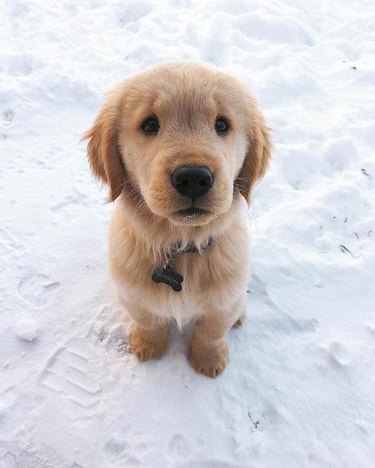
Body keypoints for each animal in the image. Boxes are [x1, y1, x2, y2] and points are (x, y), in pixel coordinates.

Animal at [83, 62, 272, 376]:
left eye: (222, 125)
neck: (181, 246)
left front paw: (209, 360)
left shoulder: (225, 297)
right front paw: (149, 346)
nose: (193, 178)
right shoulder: (133, 293)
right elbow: (148, 320)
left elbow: (212, 329)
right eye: (150, 125)